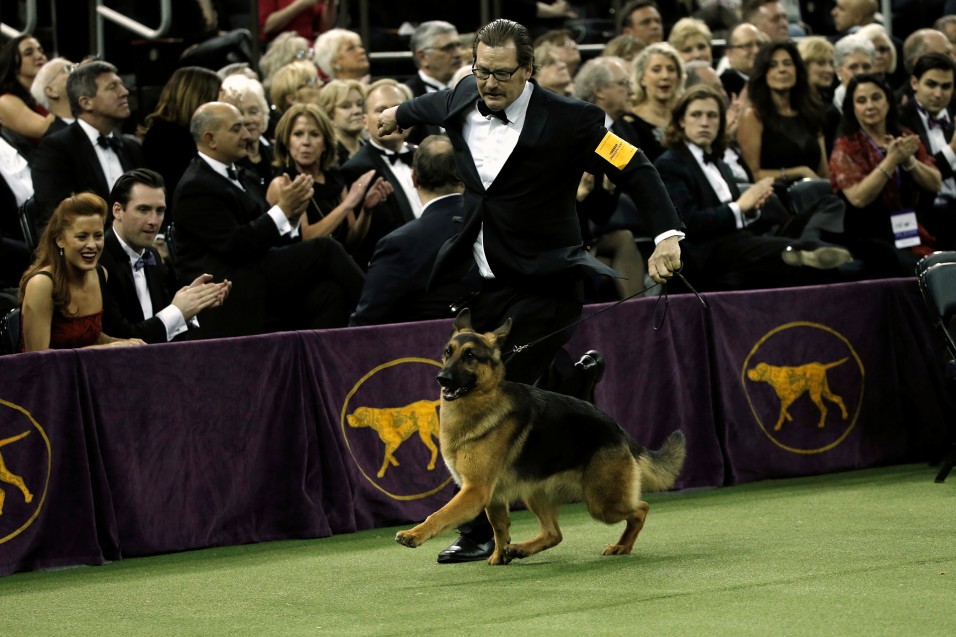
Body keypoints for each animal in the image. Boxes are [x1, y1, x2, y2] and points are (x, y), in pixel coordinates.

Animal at [396, 310, 688, 564]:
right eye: (448, 353)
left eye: (470, 355)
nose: (442, 379)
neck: (481, 402)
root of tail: (618, 428)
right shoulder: (493, 497)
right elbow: (499, 529)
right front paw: (498, 557)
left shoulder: (475, 491)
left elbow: (439, 515)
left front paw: (413, 534)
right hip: (537, 494)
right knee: (554, 534)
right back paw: (520, 550)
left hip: (602, 503)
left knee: (641, 509)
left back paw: (622, 545)